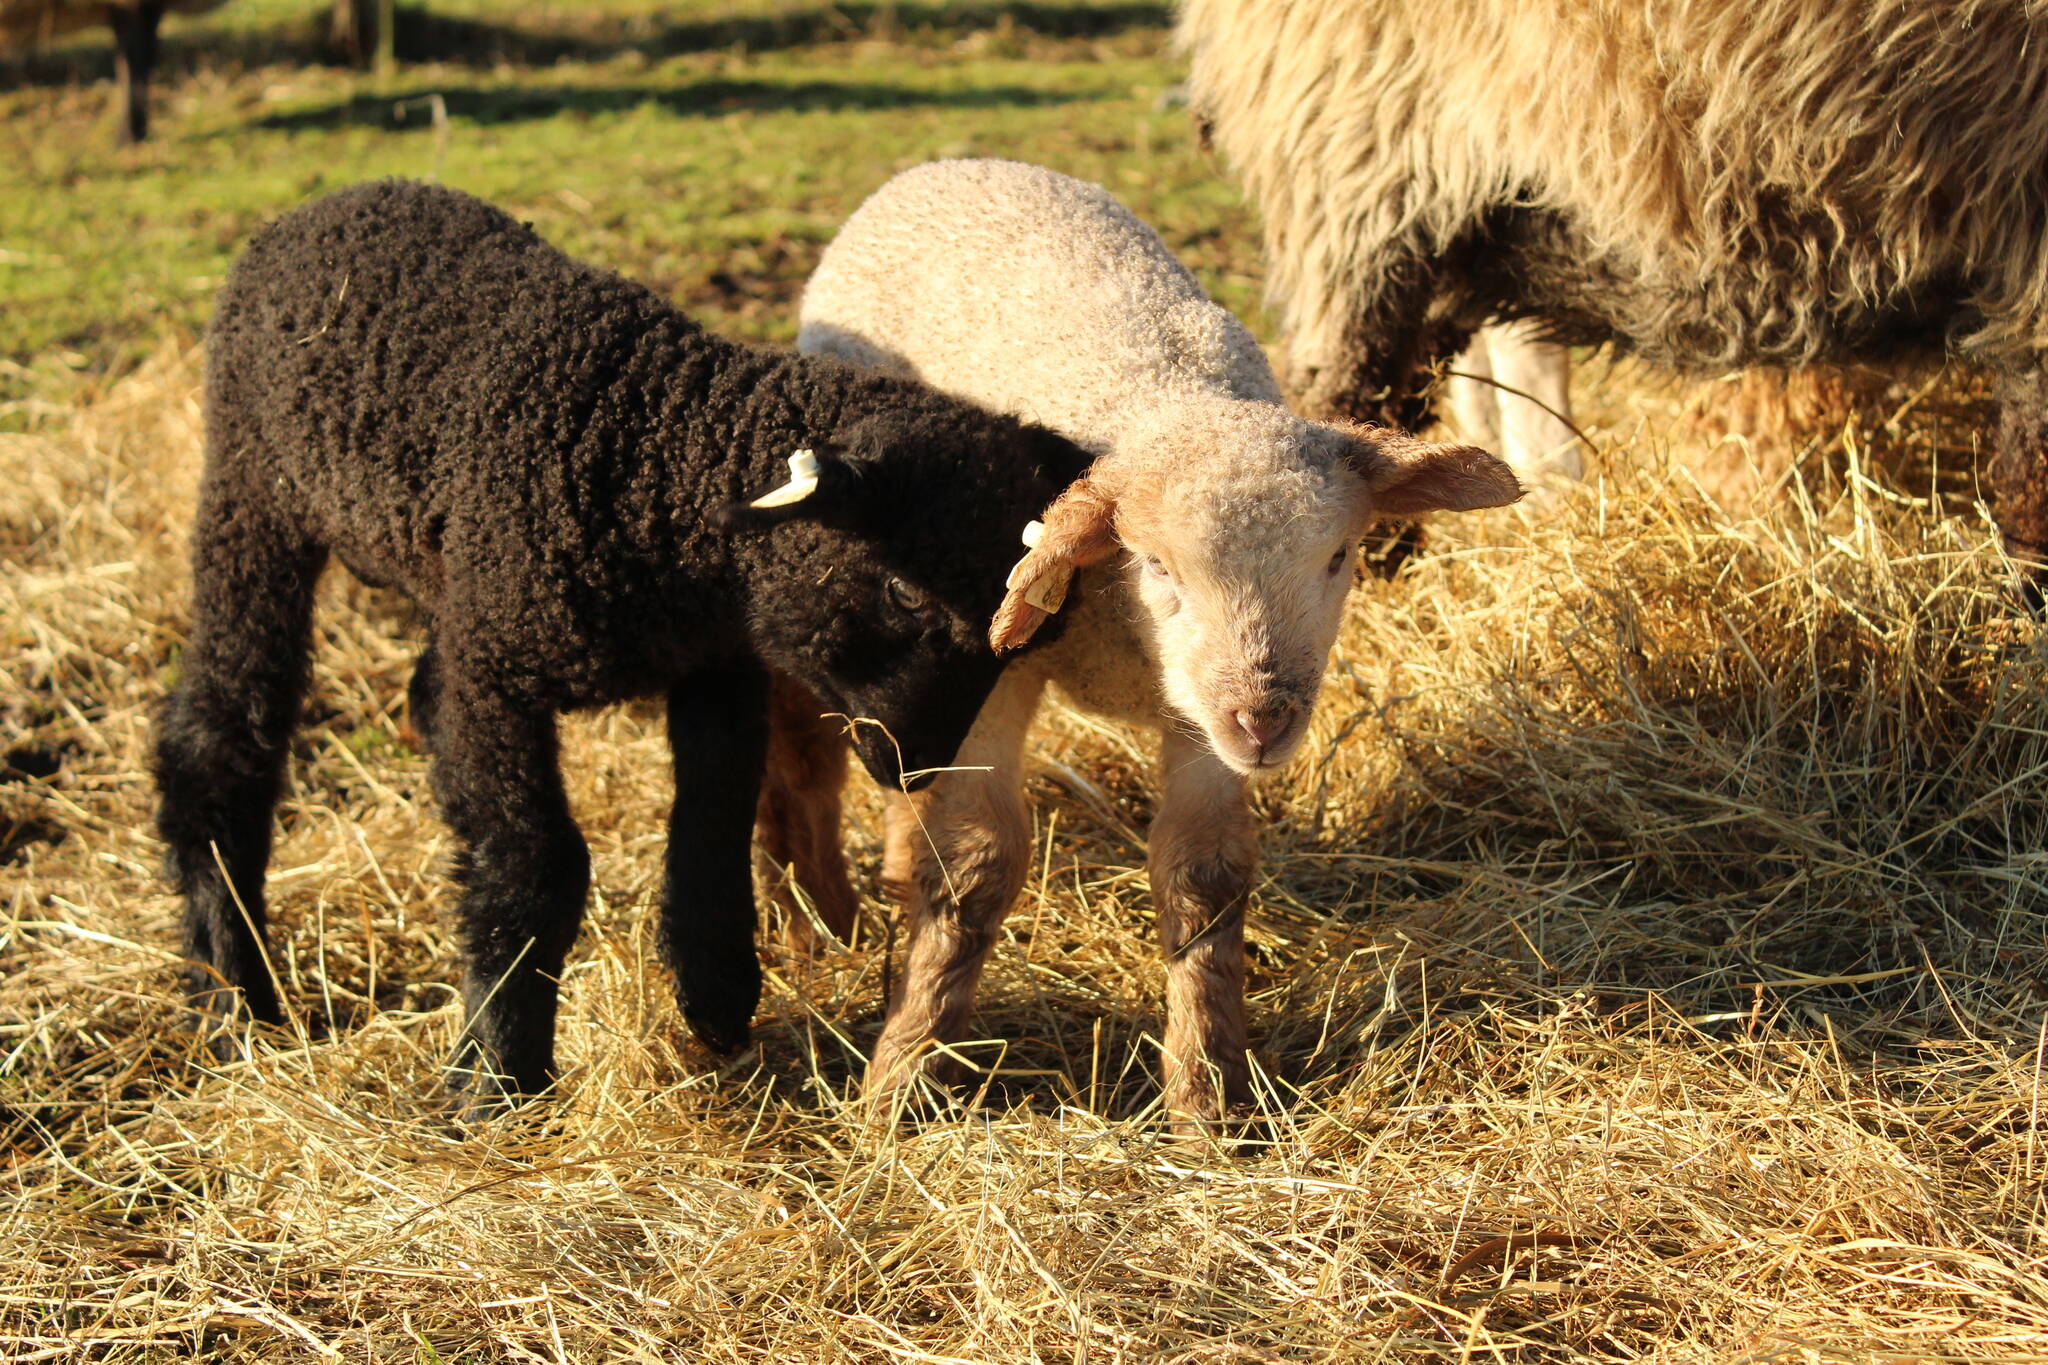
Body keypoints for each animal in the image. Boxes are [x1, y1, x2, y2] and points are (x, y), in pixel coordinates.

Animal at [153, 178, 1093, 1108]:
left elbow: (712, 827)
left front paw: (718, 992)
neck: (655, 457)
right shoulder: (496, 675)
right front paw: (498, 1073)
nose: (918, 766)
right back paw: (232, 998)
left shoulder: (711, 670)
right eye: (904, 589)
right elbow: (537, 860)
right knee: (221, 733)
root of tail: (325, 202)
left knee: (414, 687)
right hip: (252, 499)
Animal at [765, 159, 1520, 1128]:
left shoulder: (1200, 718)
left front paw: (1206, 1095)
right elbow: (977, 863)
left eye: (1339, 556)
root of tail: (950, 164)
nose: (1265, 720)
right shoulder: (997, 673)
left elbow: (1204, 876)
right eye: (1157, 564)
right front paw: (903, 1074)